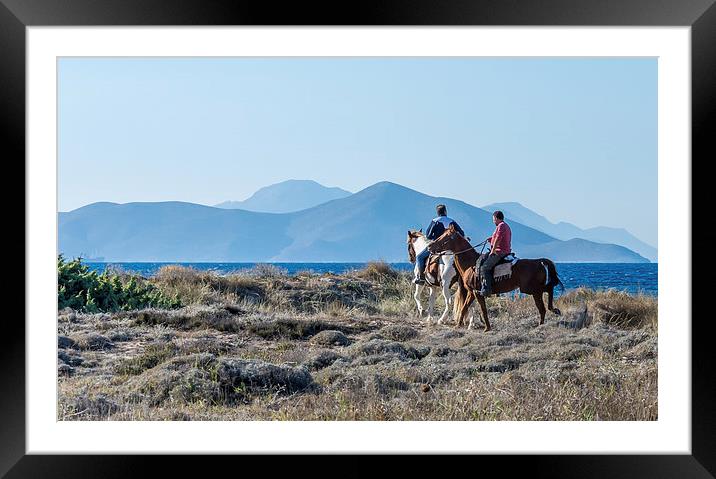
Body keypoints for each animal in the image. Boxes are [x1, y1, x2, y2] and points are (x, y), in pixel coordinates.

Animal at [428, 224, 564, 330]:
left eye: (444, 237)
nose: (430, 247)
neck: (471, 264)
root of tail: (540, 261)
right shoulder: (472, 292)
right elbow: (464, 307)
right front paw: (459, 324)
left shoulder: (478, 292)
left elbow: (482, 309)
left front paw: (487, 328)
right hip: (533, 290)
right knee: (544, 303)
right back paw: (546, 318)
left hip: (531, 289)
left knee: (546, 296)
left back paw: (551, 312)